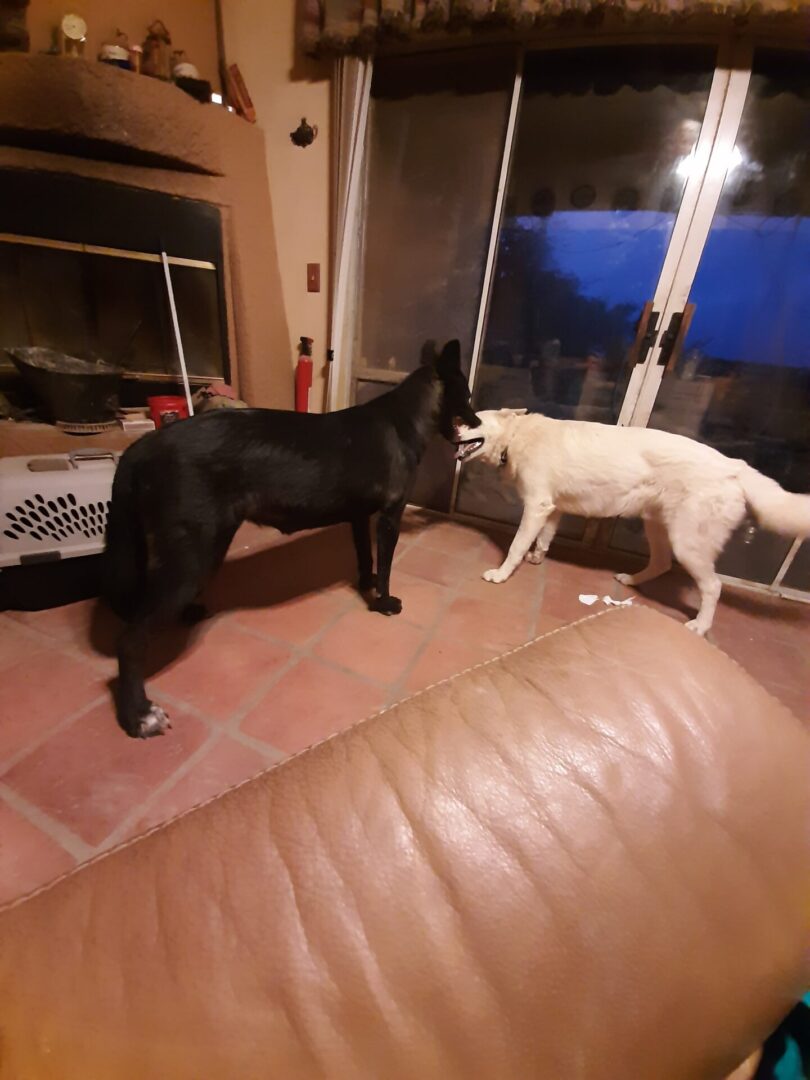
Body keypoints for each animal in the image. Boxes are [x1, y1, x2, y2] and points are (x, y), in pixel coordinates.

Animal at [103, 341, 479, 738]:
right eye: (467, 396)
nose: (479, 423)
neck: (404, 417)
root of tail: (142, 446)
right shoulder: (390, 517)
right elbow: (388, 566)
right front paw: (384, 602)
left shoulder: (359, 517)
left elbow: (365, 558)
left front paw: (367, 583)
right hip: (195, 553)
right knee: (130, 642)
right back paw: (138, 715)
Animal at [457, 410, 810, 630]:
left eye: (473, 420)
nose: (452, 428)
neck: (518, 435)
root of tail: (735, 466)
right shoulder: (552, 508)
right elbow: (544, 539)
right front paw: (537, 558)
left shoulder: (536, 506)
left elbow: (516, 546)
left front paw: (501, 574)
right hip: (658, 529)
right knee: (662, 565)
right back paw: (631, 580)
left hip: (687, 544)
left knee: (713, 586)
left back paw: (700, 625)